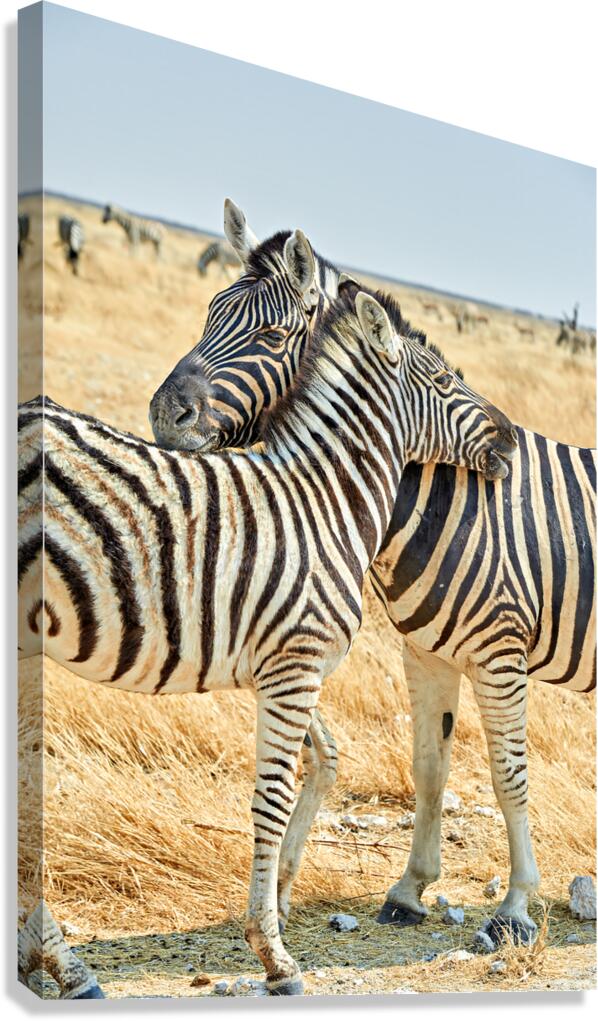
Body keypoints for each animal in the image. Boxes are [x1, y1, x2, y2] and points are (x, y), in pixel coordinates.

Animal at [19, 279, 514, 994]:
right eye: (449, 380)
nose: (511, 437)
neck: (327, 503)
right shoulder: (295, 664)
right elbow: (271, 801)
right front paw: (273, 954)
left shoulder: (282, 666)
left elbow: (323, 759)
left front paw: (277, 902)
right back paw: (64, 962)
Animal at [150, 200, 596, 948]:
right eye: (209, 311)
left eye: (272, 335)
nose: (163, 413)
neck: (442, 493)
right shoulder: (428, 652)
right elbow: (430, 767)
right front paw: (410, 889)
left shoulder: (501, 652)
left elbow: (507, 772)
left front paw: (514, 907)